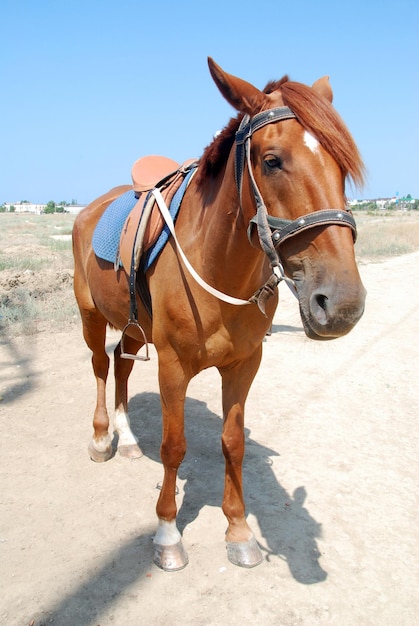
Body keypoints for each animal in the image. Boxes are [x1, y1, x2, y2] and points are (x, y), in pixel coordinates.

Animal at [73, 58, 368, 572]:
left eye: (341, 166)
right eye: (271, 161)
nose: (342, 304)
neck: (217, 265)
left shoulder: (244, 364)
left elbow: (233, 443)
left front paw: (238, 530)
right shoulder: (173, 366)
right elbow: (174, 446)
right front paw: (168, 534)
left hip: (134, 327)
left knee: (122, 366)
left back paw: (127, 439)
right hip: (90, 315)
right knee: (100, 365)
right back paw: (101, 438)